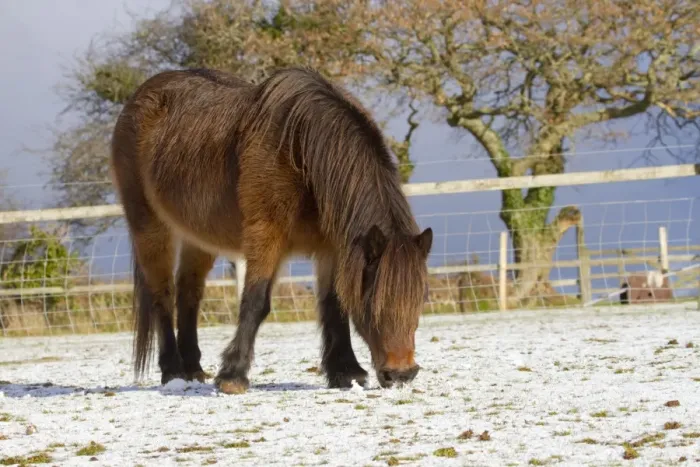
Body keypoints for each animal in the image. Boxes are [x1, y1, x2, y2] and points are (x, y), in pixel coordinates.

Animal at [109, 66, 433, 394]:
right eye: (372, 302)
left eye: (419, 299)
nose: (401, 374)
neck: (300, 151)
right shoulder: (266, 236)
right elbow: (256, 301)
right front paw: (233, 376)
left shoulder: (331, 248)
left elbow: (334, 304)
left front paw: (346, 372)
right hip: (149, 225)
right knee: (162, 293)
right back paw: (172, 371)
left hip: (198, 237)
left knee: (189, 292)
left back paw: (193, 369)